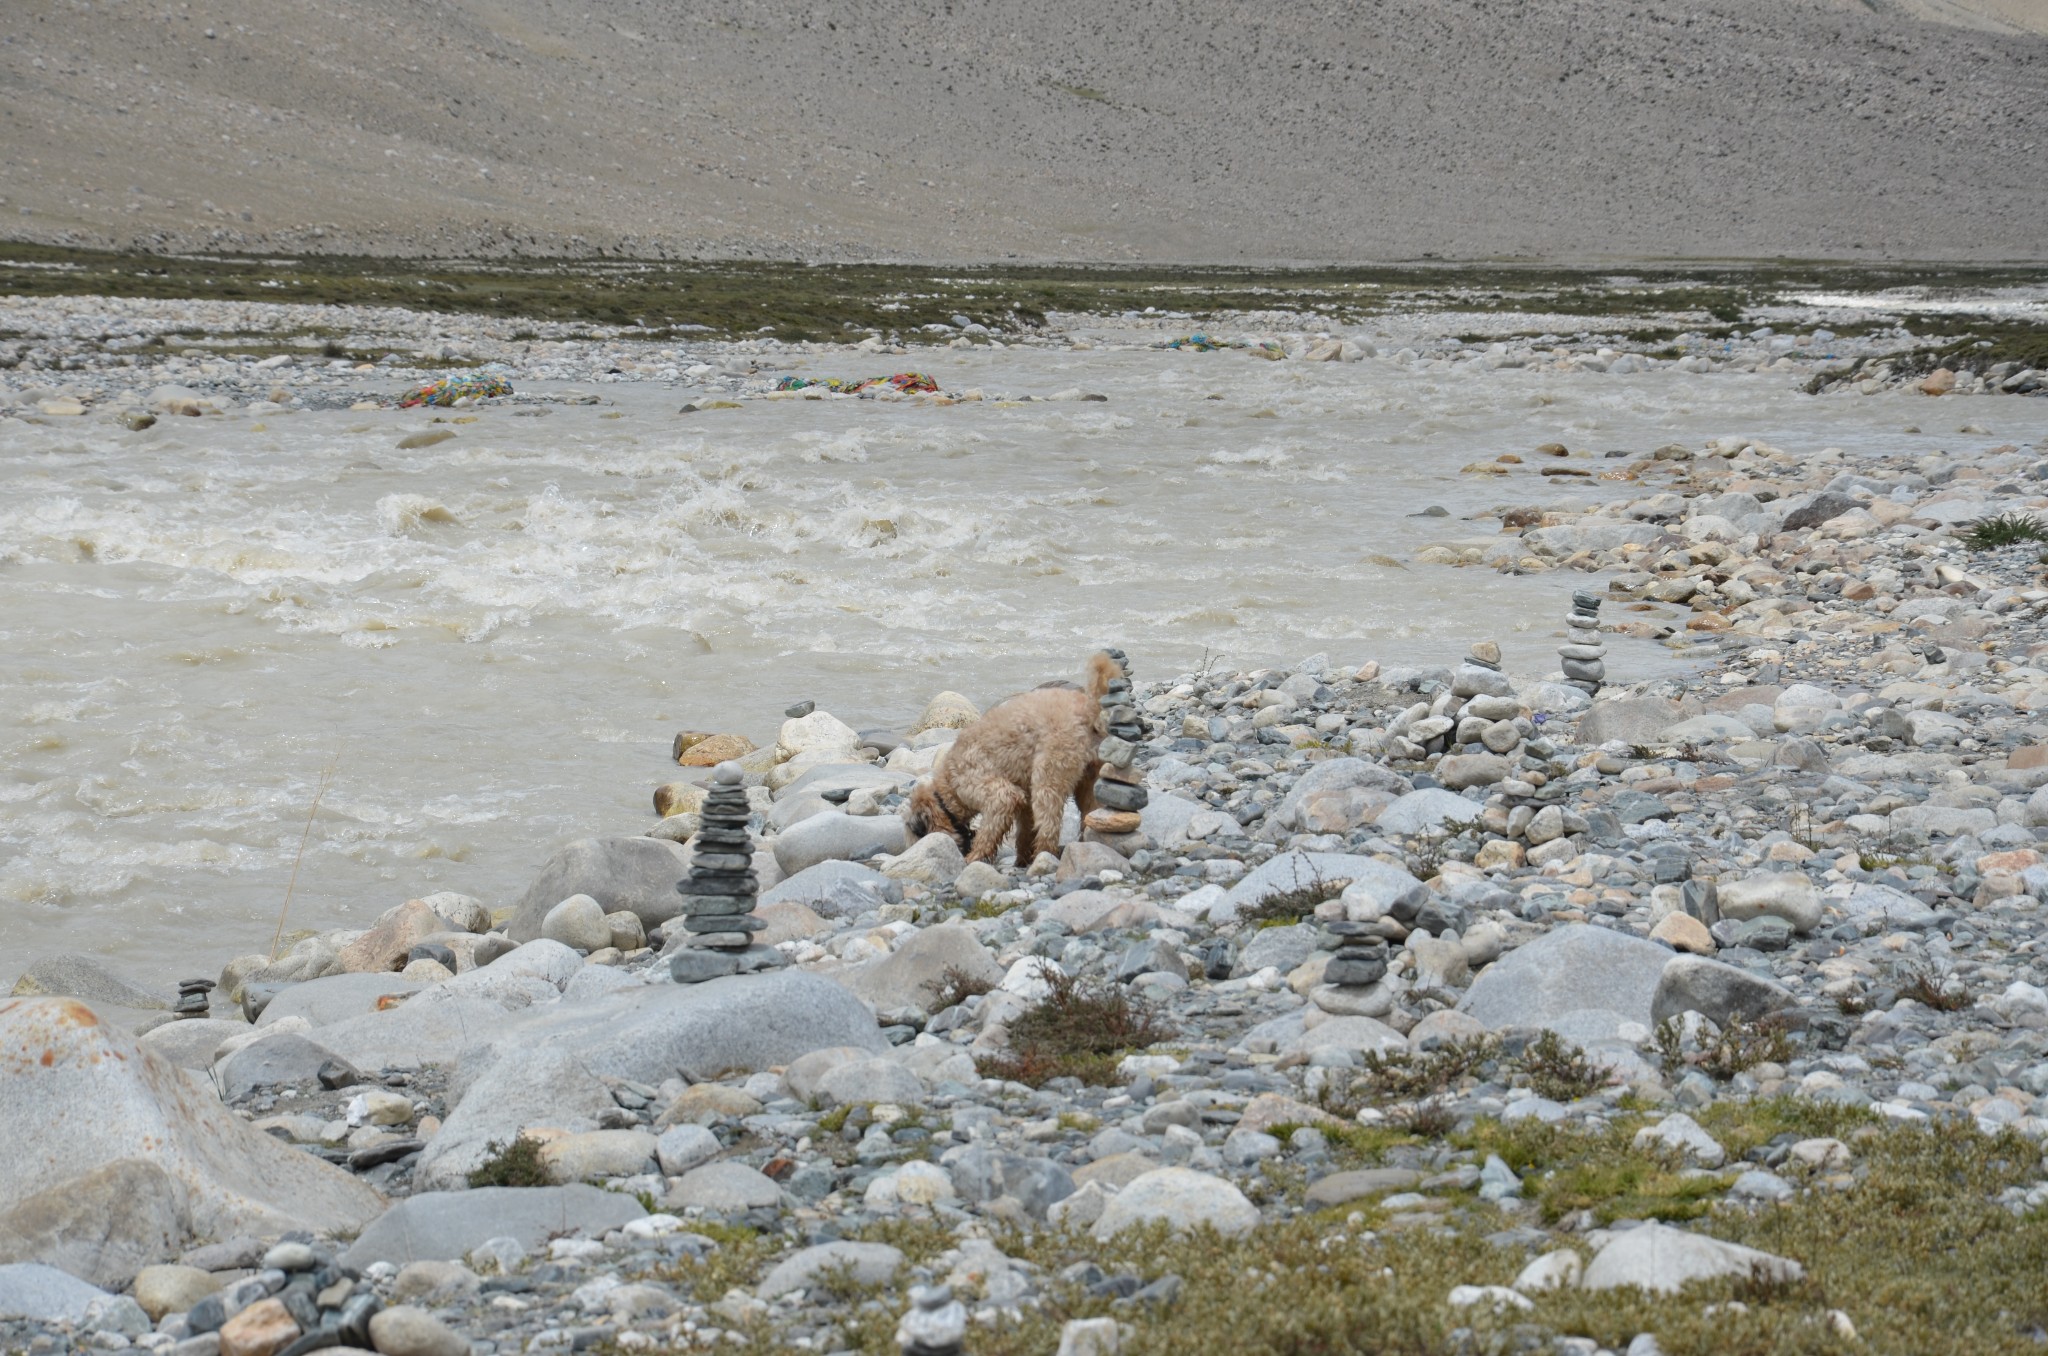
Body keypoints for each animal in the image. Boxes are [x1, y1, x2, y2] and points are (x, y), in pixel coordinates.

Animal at [901, 655, 1114, 864]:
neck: (948, 788)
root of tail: (1089, 708)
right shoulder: (1025, 799)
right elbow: (1024, 831)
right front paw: (1021, 858)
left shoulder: (997, 795)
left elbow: (989, 832)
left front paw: (974, 857)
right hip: (1090, 782)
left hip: (1048, 776)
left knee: (1049, 825)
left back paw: (1042, 856)